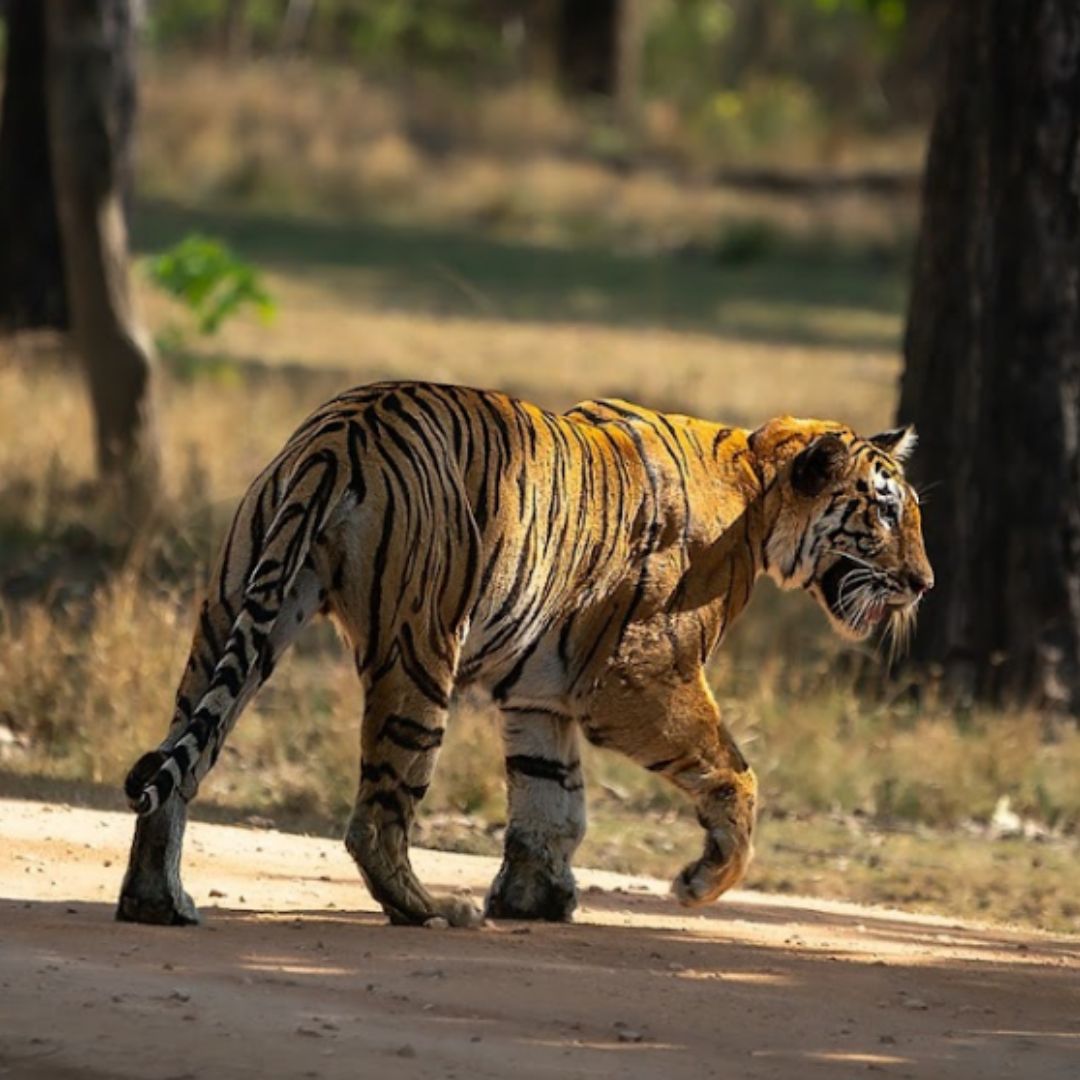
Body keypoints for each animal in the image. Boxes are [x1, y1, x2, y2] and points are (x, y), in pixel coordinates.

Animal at [116, 380, 928, 928]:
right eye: (885, 513)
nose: (924, 582)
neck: (758, 486)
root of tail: (340, 432)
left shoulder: (543, 688)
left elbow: (551, 797)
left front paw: (535, 897)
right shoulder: (641, 676)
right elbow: (734, 770)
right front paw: (701, 882)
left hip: (236, 612)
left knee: (178, 765)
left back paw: (158, 902)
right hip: (420, 651)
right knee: (378, 812)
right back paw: (430, 909)